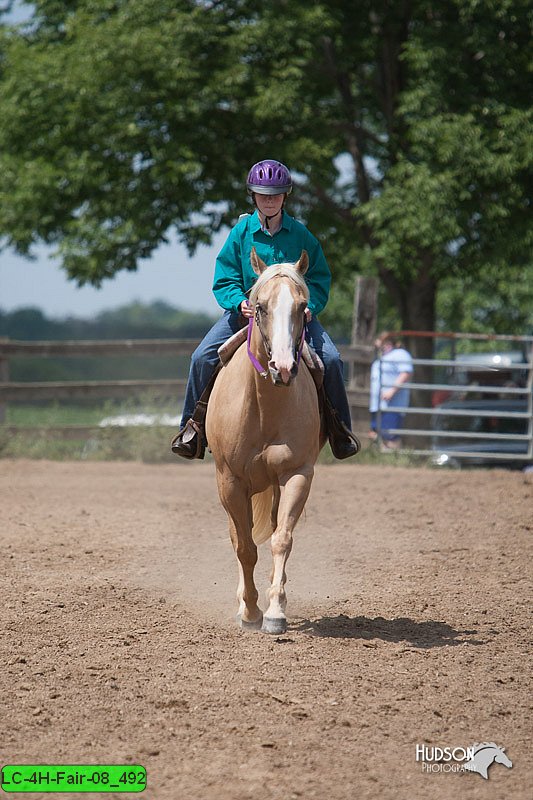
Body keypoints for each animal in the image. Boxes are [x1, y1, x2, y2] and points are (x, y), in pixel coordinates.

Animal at [206, 247, 324, 636]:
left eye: (302, 306)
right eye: (259, 306)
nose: (283, 368)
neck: (264, 407)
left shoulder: (298, 474)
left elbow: (281, 539)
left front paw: (274, 611)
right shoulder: (230, 480)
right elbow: (244, 547)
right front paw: (250, 611)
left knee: (273, 531)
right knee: (237, 537)